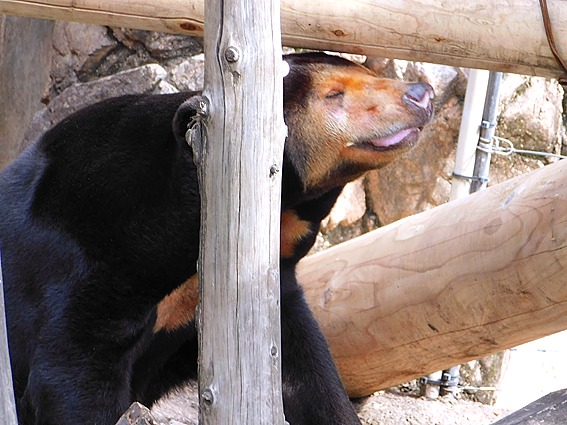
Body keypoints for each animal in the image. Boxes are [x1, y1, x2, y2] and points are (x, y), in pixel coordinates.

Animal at [0, 51, 434, 422]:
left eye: (371, 74)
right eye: (334, 95)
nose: (421, 93)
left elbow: (302, 368)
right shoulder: (91, 257)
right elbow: (70, 371)